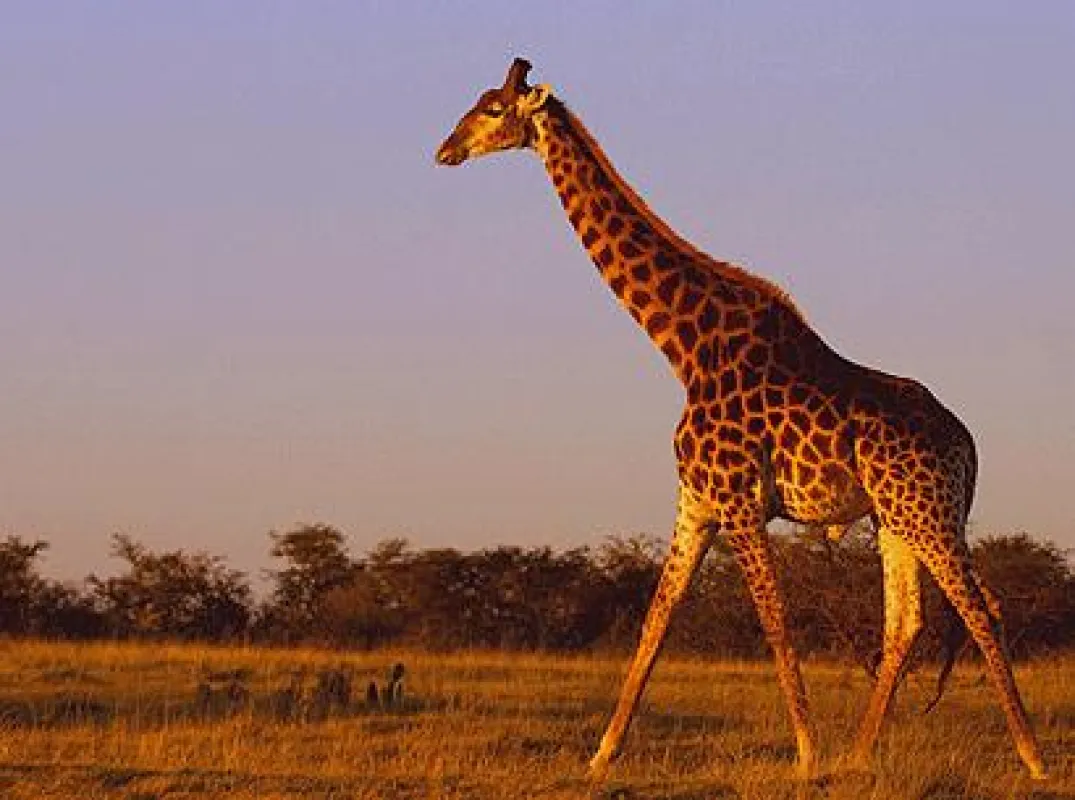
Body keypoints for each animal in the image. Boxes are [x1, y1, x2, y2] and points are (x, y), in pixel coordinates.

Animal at [435, 58, 1046, 782]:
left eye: (494, 109)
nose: (444, 150)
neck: (682, 346)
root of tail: (968, 442)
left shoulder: (737, 500)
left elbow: (772, 618)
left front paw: (805, 755)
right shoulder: (695, 502)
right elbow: (656, 619)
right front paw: (601, 755)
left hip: (927, 510)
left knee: (981, 608)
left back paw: (1031, 757)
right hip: (895, 515)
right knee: (907, 624)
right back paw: (858, 755)